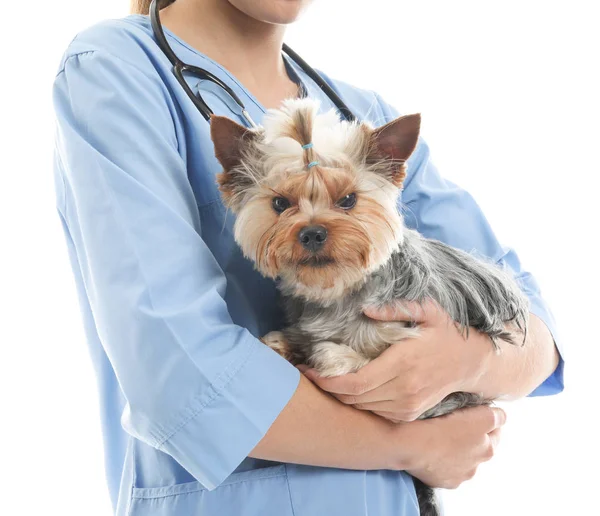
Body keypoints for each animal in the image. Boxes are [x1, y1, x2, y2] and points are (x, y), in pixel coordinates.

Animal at [209, 98, 528, 516]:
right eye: (280, 203)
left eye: (348, 200)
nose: (312, 232)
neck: (339, 290)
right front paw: (287, 343)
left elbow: (354, 354)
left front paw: (330, 355)